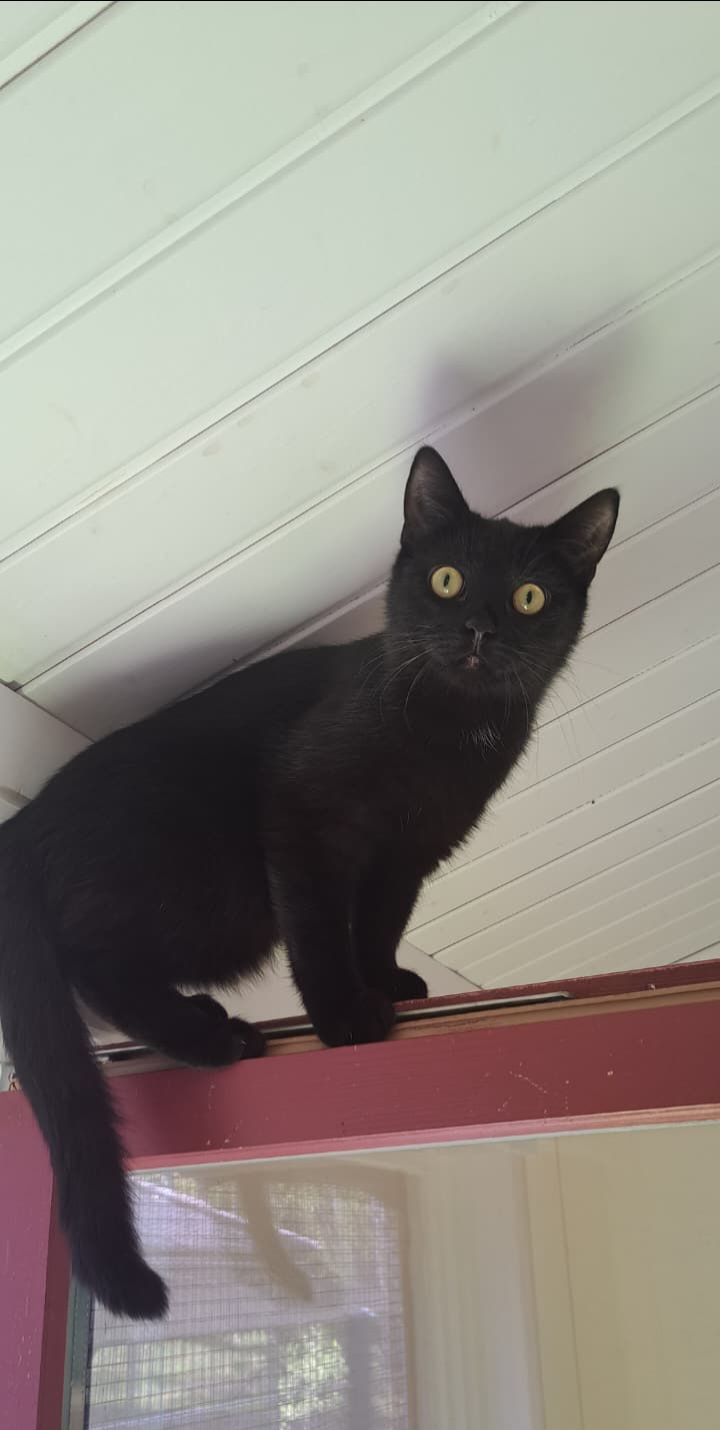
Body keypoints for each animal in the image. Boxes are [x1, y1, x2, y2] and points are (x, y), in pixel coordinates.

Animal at [0, 446, 618, 1319]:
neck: (447, 733)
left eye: (530, 598)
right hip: (217, 889)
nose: (477, 628)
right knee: (92, 963)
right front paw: (345, 1016)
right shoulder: (302, 815)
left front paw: (384, 981)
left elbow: (382, 920)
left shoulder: (408, 855)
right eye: (448, 581)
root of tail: (21, 827)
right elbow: (323, 928)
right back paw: (212, 1037)